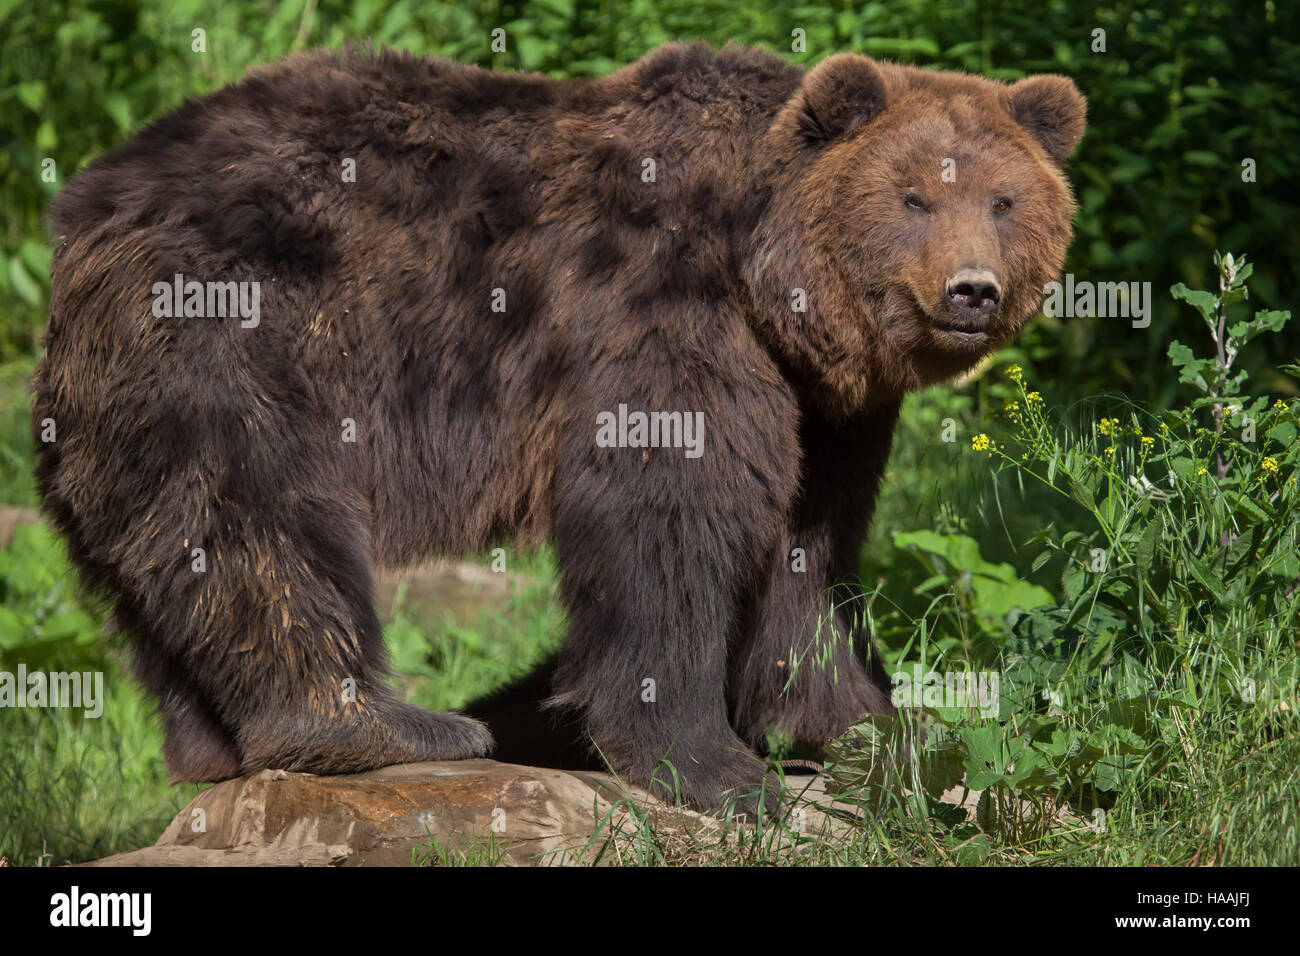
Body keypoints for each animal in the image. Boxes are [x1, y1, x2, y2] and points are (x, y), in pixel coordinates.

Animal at [33, 41, 1085, 814]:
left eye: (1003, 199)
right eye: (914, 197)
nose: (972, 290)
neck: (766, 277)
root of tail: (85, 208)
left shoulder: (829, 410)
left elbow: (808, 551)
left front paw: (874, 722)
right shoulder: (657, 309)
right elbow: (668, 519)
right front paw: (719, 767)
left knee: (159, 563)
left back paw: (215, 747)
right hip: (233, 329)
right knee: (259, 520)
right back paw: (384, 724)